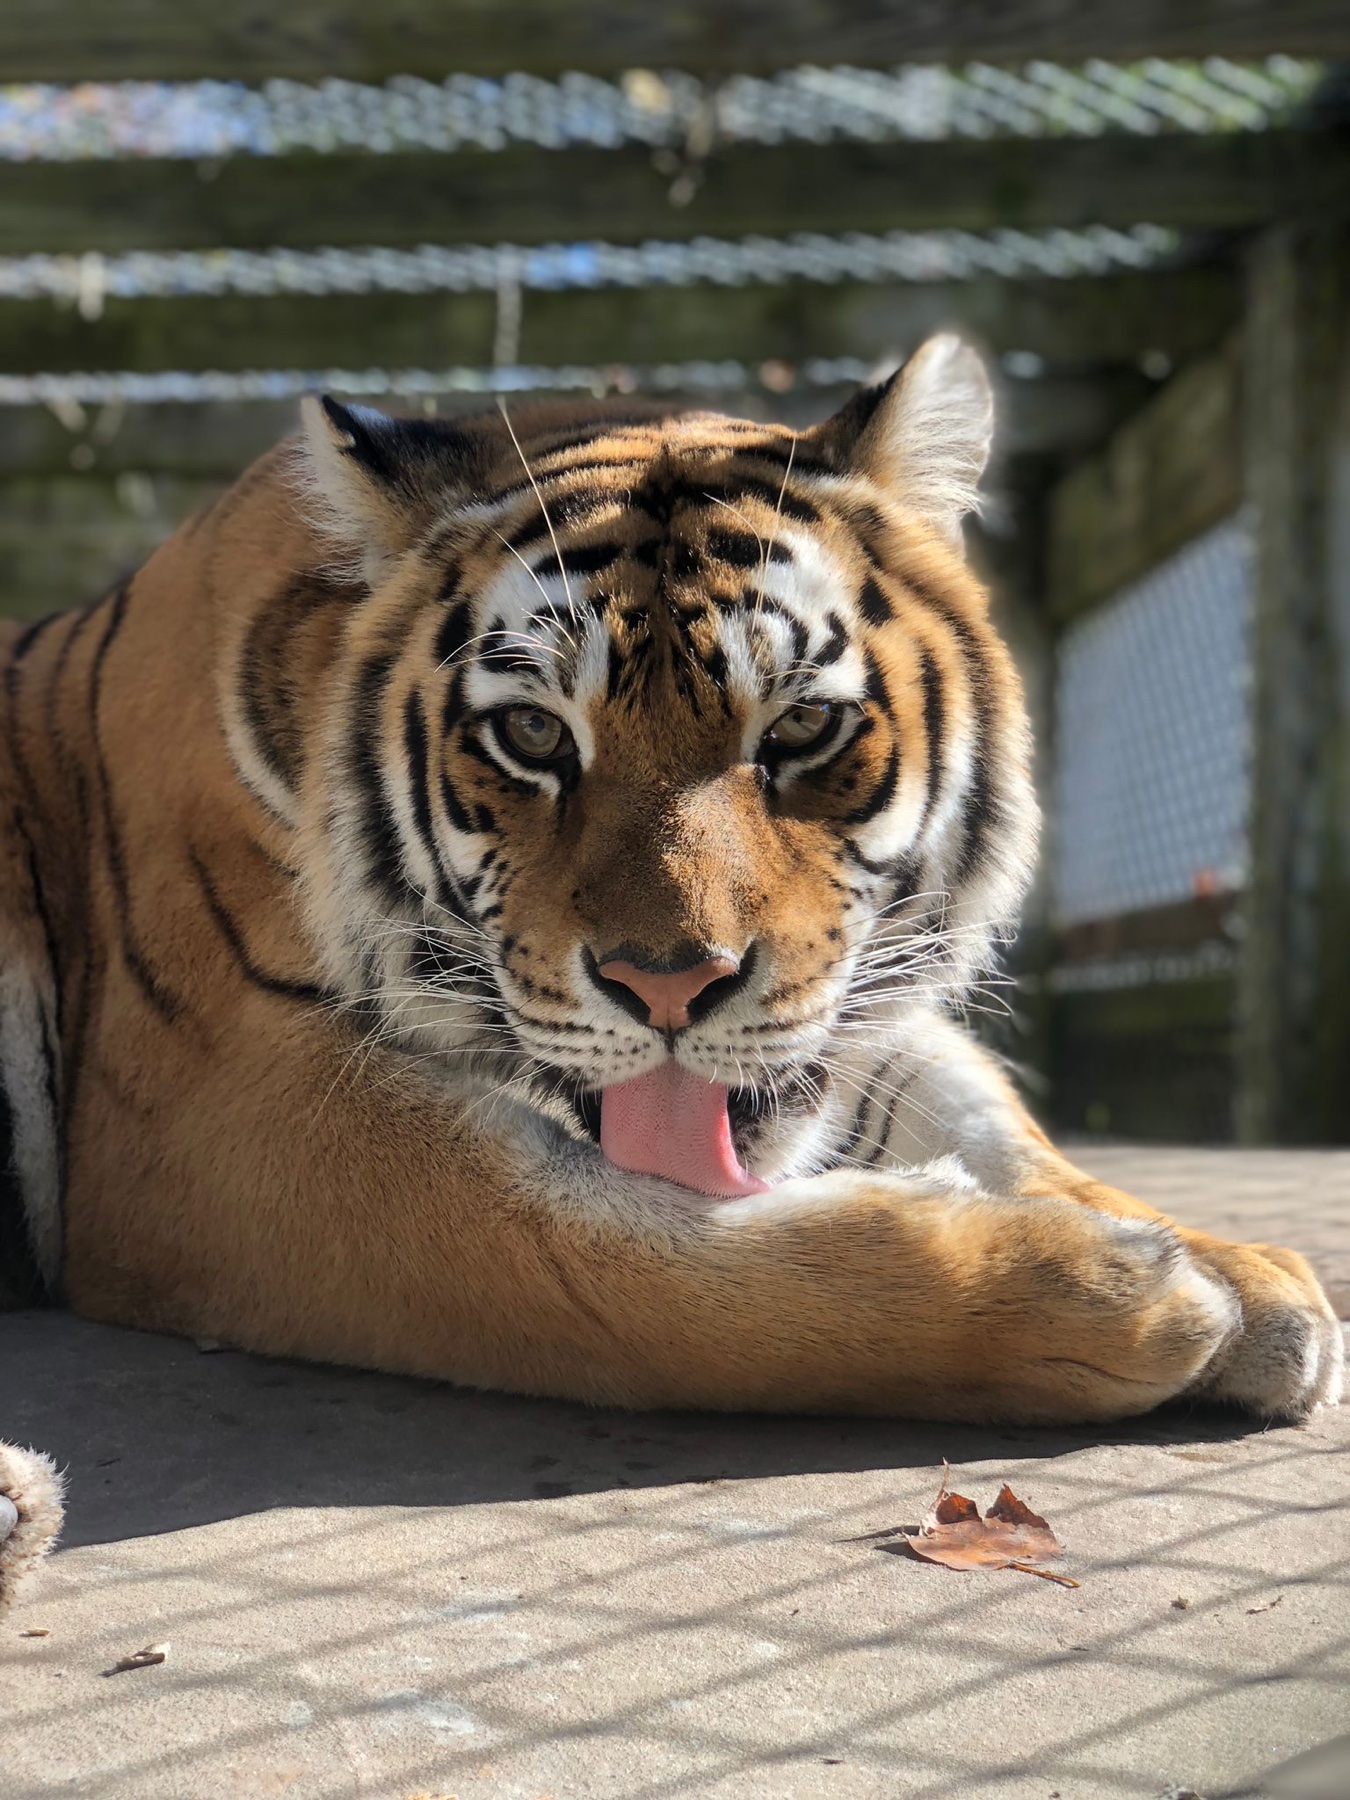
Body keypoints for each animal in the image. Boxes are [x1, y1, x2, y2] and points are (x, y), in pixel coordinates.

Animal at [0, 334, 1341, 1604]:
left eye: (800, 728)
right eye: (531, 734)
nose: (669, 986)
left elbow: (987, 1121)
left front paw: (1242, 1273)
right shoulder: (220, 1113)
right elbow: (627, 1270)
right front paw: (1132, 1300)